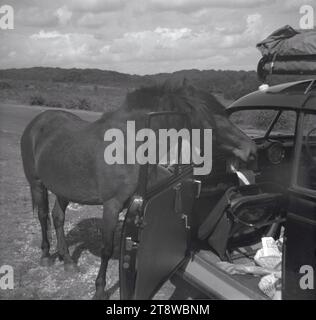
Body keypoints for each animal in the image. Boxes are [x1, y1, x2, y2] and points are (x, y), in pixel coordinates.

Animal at [19, 79, 256, 298]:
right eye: (212, 119)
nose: (251, 150)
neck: (128, 146)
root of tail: (36, 123)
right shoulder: (112, 205)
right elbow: (107, 249)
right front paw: (100, 290)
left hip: (64, 188)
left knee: (58, 217)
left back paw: (67, 260)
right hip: (37, 184)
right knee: (43, 216)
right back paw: (46, 256)